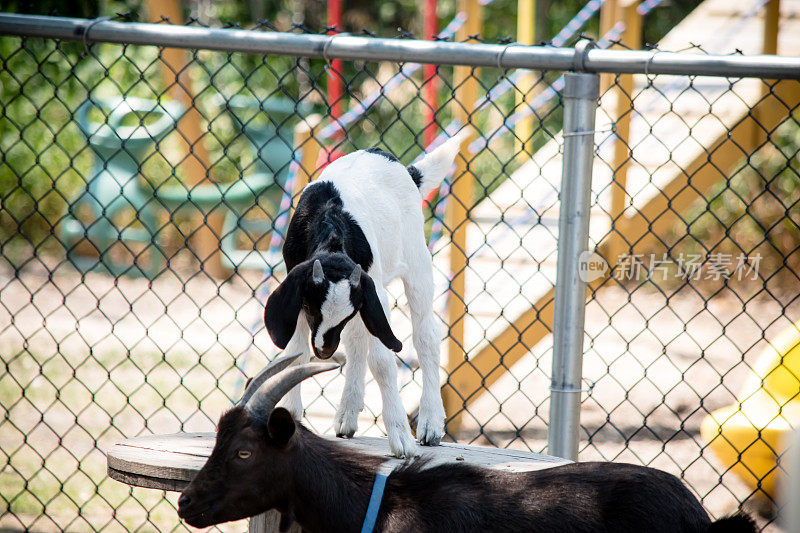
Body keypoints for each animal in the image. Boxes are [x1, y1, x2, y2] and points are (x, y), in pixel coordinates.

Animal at [262, 135, 466, 456]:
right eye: (310, 308)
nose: (324, 350)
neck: (330, 224)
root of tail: (403, 168)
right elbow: (296, 354)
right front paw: (290, 419)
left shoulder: (373, 296)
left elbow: (383, 362)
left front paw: (401, 437)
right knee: (357, 342)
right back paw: (347, 413)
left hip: (417, 262)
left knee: (426, 337)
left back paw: (430, 424)